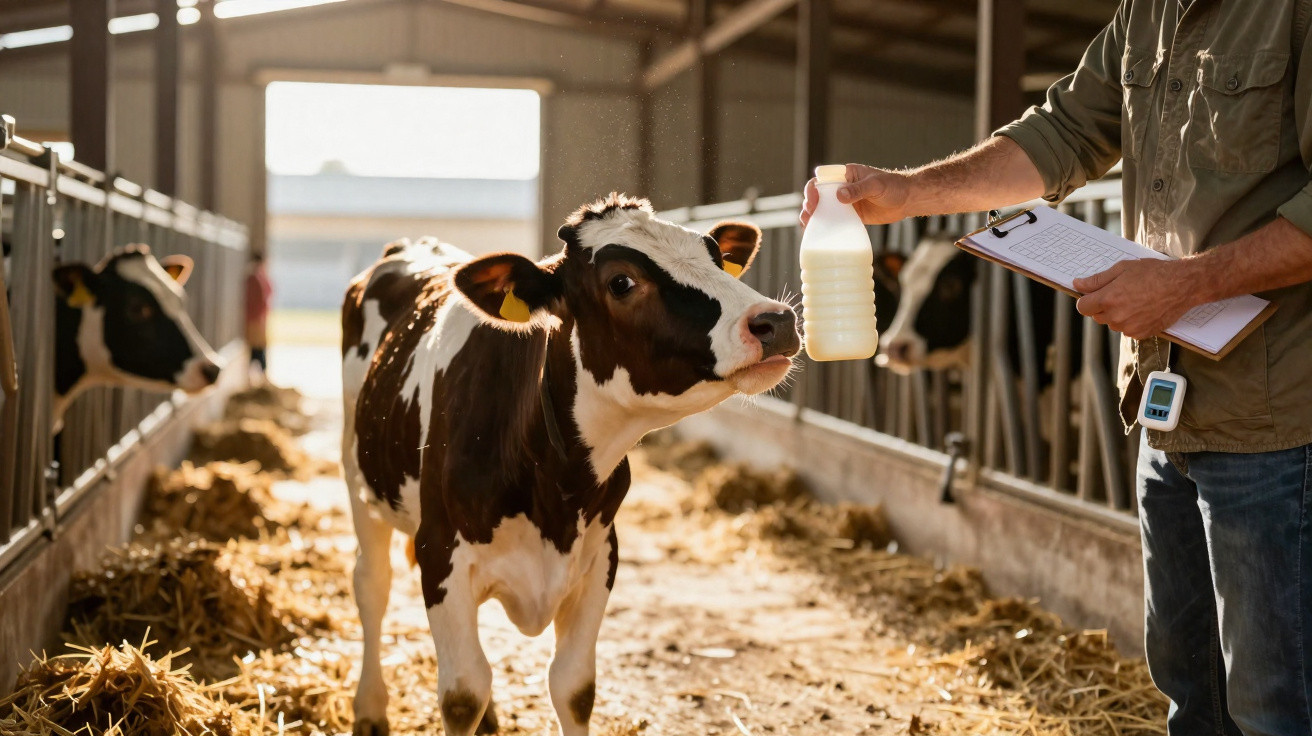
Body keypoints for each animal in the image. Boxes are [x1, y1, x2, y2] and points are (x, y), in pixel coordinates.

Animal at [340, 194, 800, 736]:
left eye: (713, 254)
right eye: (621, 282)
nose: (776, 320)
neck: (558, 488)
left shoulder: (601, 555)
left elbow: (573, 687)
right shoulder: (440, 551)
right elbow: (462, 693)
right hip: (358, 478)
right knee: (373, 585)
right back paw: (370, 708)